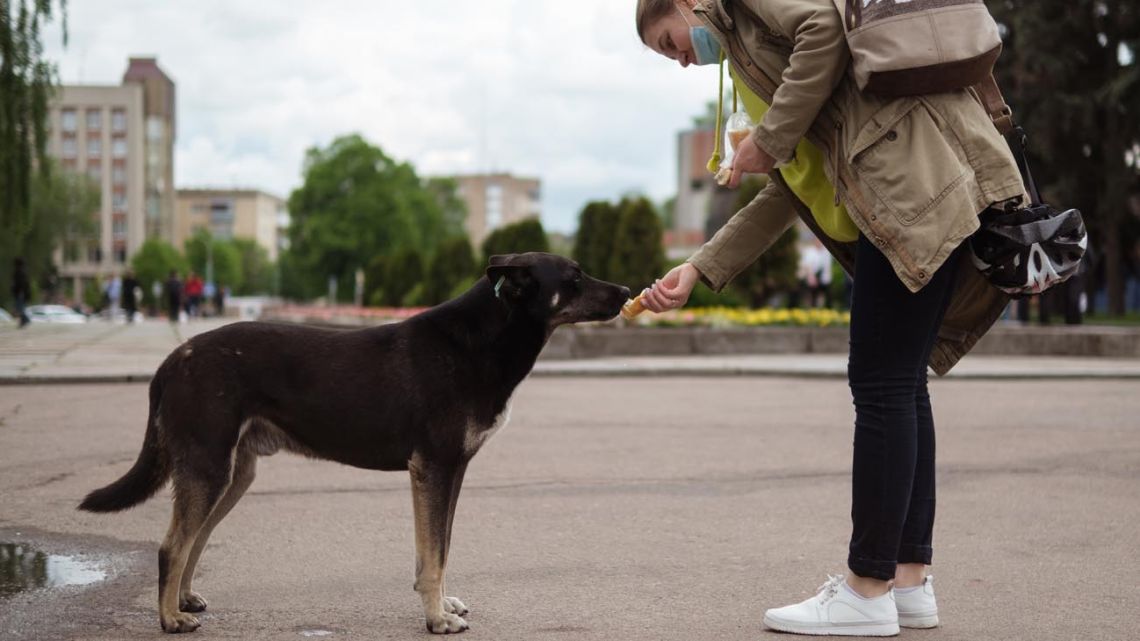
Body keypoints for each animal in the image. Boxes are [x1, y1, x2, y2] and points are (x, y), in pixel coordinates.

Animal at [80, 252, 633, 629]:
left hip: (233, 473)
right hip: (209, 467)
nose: (628, 289)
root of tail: (173, 360)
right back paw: (170, 619)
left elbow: (440, 547)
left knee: (194, 540)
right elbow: (434, 553)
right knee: (172, 545)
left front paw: (442, 604)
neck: (484, 337)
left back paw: (183, 600)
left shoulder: (450, 472)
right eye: (574, 278)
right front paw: (437, 618)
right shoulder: (434, 468)